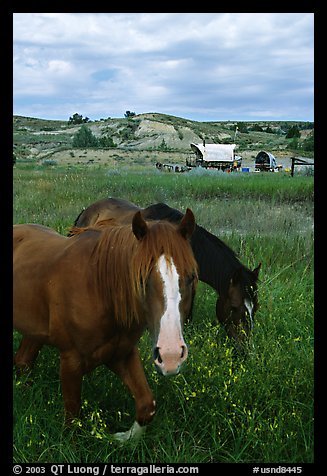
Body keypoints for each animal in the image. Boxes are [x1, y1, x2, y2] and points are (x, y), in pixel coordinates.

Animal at [13, 210, 197, 440]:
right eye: (141, 279)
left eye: (190, 277)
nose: (170, 356)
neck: (99, 288)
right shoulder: (70, 360)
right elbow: (72, 419)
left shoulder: (121, 353)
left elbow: (147, 406)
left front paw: (121, 439)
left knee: (23, 361)